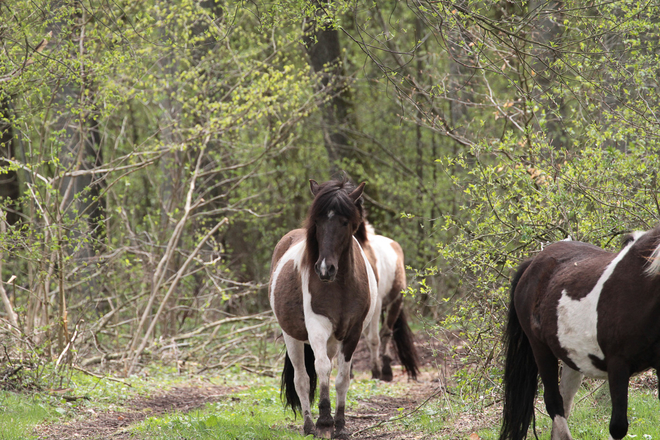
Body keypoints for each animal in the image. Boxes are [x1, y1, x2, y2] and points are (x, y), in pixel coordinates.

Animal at [270, 180, 378, 440]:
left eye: (344, 222)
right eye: (317, 222)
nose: (324, 269)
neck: (340, 286)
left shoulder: (353, 332)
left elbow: (341, 378)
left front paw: (340, 425)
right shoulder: (317, 328)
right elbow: (321, 369)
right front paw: (325, 421)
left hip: (331, 340)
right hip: (292, 336)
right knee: (301, 379)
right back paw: (309, 425)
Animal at [360, 225, 418, 380]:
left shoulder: (377, 306)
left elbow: (374, 338)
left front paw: (376, 372)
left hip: (395, 303)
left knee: (385, 332)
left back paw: (386, 370)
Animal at [502, 229, 660, 440]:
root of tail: (533, 263)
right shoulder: (618, 365)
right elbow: (618, 426)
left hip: (572, 359)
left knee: (564, 403)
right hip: (540, 350)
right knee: (554, 403)